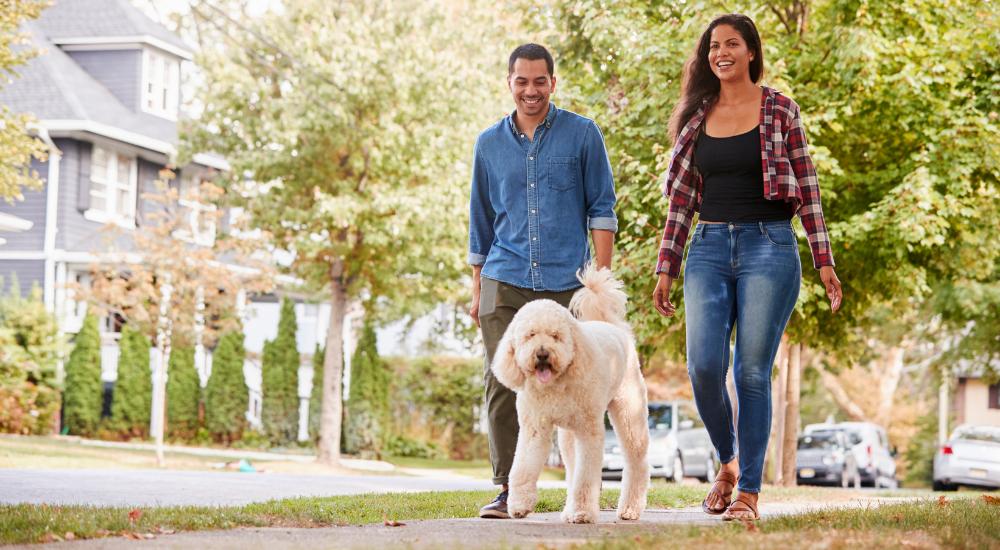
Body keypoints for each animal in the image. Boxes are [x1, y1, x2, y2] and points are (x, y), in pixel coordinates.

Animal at [490, 268, 648, 528]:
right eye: (530, 335)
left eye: (556, 336)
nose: (542, 354)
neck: (555, 383)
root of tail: (614, 327)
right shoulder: (535, 428)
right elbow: (523, 466)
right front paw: (519, 505)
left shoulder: (589, 432)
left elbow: (586, 478)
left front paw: (582, 512)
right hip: (567, 435)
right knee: (573, 466)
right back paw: (568, 510)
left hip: (629, 414)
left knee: (636, 461)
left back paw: (630, 509)